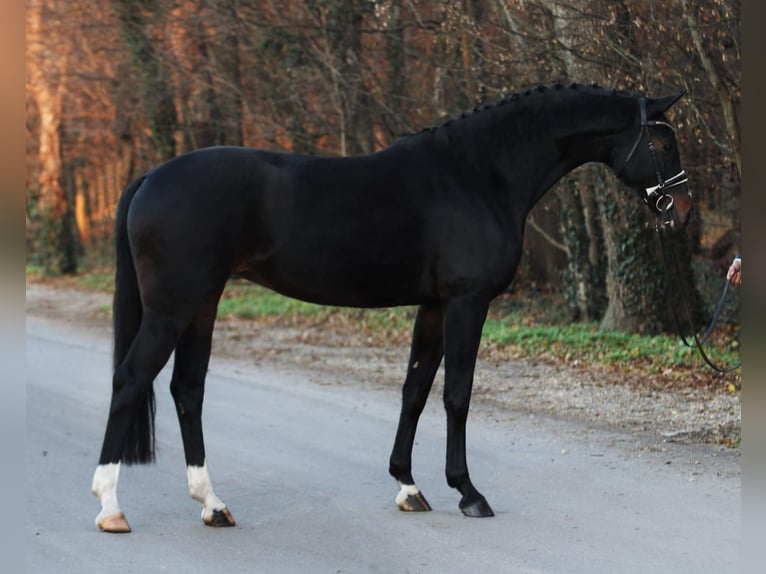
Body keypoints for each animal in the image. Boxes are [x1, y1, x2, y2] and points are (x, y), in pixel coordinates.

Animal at [91, 83, 696, 532]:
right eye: (664, 145)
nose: (685, 212)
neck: (480, 173)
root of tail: (150, 177)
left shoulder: (432, 306)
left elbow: (415, 390)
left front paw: (408, 486)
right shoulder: (466, 303)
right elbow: (457, 395)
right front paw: (468, 492)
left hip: (201, 305)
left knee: (186, 390)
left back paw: (212, 504)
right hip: (173, 308)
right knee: (130, 381)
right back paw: (111, 507)